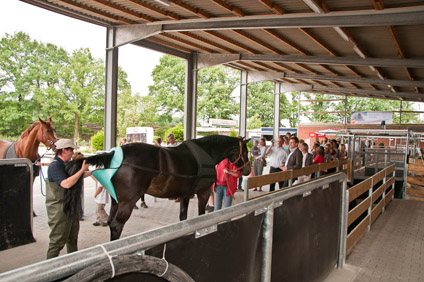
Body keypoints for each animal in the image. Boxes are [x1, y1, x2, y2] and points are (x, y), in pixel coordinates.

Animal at [67, 135, 252, 240]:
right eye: (245, 152)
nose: (248, 170)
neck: (207, 153)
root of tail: (113, 154)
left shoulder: (185, 195)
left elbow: (183, 218)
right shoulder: (204, 192)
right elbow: (200, 216)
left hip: (115, 200)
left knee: (111, 221)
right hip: (127, 201)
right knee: (116, 225)